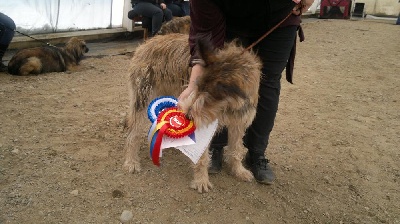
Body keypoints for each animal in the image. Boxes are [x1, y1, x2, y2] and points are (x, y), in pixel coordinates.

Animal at [125, 33, 262, 192]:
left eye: (209, 98)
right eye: (197, 87)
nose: (187, 115)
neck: (228, 107)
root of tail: (145, 44)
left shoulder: (238, 123)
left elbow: (236, 148)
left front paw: (238, 170)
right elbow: (202, 157)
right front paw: (201, 180)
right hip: (142, 100)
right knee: (133, 134)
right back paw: (131, 161)